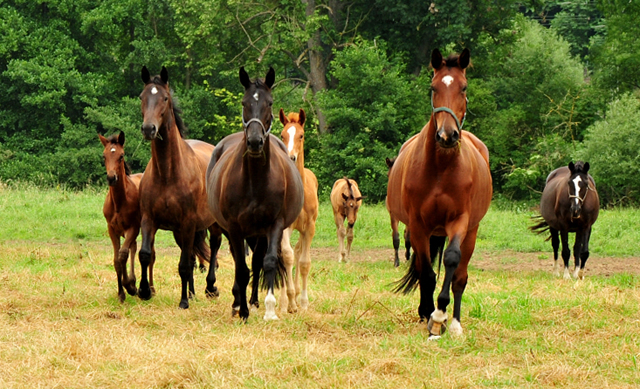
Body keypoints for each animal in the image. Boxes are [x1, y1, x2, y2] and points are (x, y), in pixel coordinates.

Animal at [98, 132, 143, 302]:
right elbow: (117, 260)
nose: (112, 178)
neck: (118, 202)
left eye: (121, 155)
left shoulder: (133, 227)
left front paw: (129, 286)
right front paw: (121, 293)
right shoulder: (112, 230)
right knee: (134, 247)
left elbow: (123, 255)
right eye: (103, 156)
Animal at [138, 66, 222, 310]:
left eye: (165, 98)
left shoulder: (187, 222)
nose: (149, 129)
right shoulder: (149, 219)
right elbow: (145, 254)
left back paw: (210, 287)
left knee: (213, 247)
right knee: (193, 255)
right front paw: (144, 291)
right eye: (142, 97)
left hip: (211, 223)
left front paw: (183, 301)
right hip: (181, 231)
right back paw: (193, 292)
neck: (168, 174)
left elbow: (184, 264)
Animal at [206, 67, 304, 322]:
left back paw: (255, 301)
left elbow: (267, 262)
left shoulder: (275, 224)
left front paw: (269, 308)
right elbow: (241, 268)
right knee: (241, 261)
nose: (254, 141)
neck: (255, 181)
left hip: (259, 232)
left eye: (270, 103)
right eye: (244, 102)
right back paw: (238, 301)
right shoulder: (234, 227)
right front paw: (242, 311)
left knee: (259, 261)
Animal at [388, 48, 492, 338]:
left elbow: (451, 260)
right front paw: (427, 312)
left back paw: (454, 321)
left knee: (460, 276)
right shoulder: (418, 225)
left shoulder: (459, 221)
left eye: (464, 87)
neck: (440, 168)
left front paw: (440, 314)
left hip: (470, 231)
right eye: (433, 88)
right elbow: (426, 272)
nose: (447, 136)